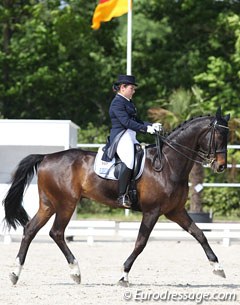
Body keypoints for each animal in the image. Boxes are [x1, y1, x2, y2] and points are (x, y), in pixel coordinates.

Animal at [2, 107, 231, 284]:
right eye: (219, 136)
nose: (221, 166)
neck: (168, 163)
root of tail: (46, 157)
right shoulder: (152, 211)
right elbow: (141, 243)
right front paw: (124, 275)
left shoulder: (175, 211)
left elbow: (200, 234)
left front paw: (218, 268)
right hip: (66, 204)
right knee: (56, 233)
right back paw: (75, 271)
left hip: (49, 204)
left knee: (30, 230)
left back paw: (15, 273)